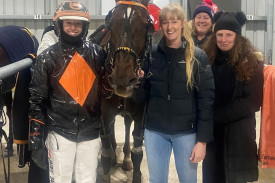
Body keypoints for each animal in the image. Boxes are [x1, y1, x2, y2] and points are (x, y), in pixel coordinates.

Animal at [89, 0, 153, 182]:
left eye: (145, 25)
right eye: (111, 22)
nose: (122, 80)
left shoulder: (141, 112)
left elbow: (137, 151)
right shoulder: (103, 112)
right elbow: (105, 151)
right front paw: (107, 169)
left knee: (126, 124)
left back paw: (125, 158)